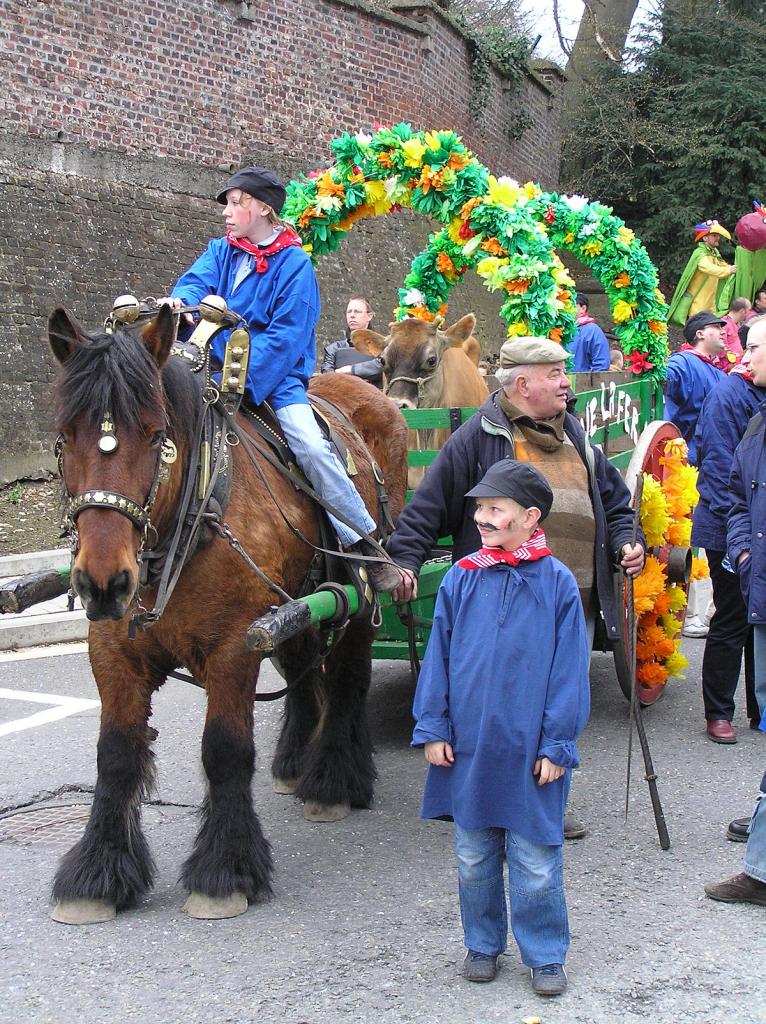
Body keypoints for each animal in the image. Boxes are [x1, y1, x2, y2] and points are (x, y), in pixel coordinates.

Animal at [46, 307, 407, 925]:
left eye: (155, 434)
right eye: (67, 435)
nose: (103, 582)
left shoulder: (235, 645)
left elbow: (225, 750)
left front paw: (224, 871)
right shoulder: (112, 650)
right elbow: (115, 754)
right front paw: (97, 873)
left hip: (357, 593)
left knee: (349, 677)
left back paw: (333, 780)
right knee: (305, 670)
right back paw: (297, 761)